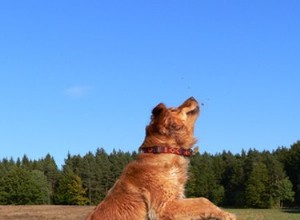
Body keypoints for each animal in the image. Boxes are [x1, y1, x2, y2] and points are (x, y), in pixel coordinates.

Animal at [86, 97, 237, 219]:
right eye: (175, 109)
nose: (193, 97)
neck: (163, 151)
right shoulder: (163, 206)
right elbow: (202, 200)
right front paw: (226, 215)